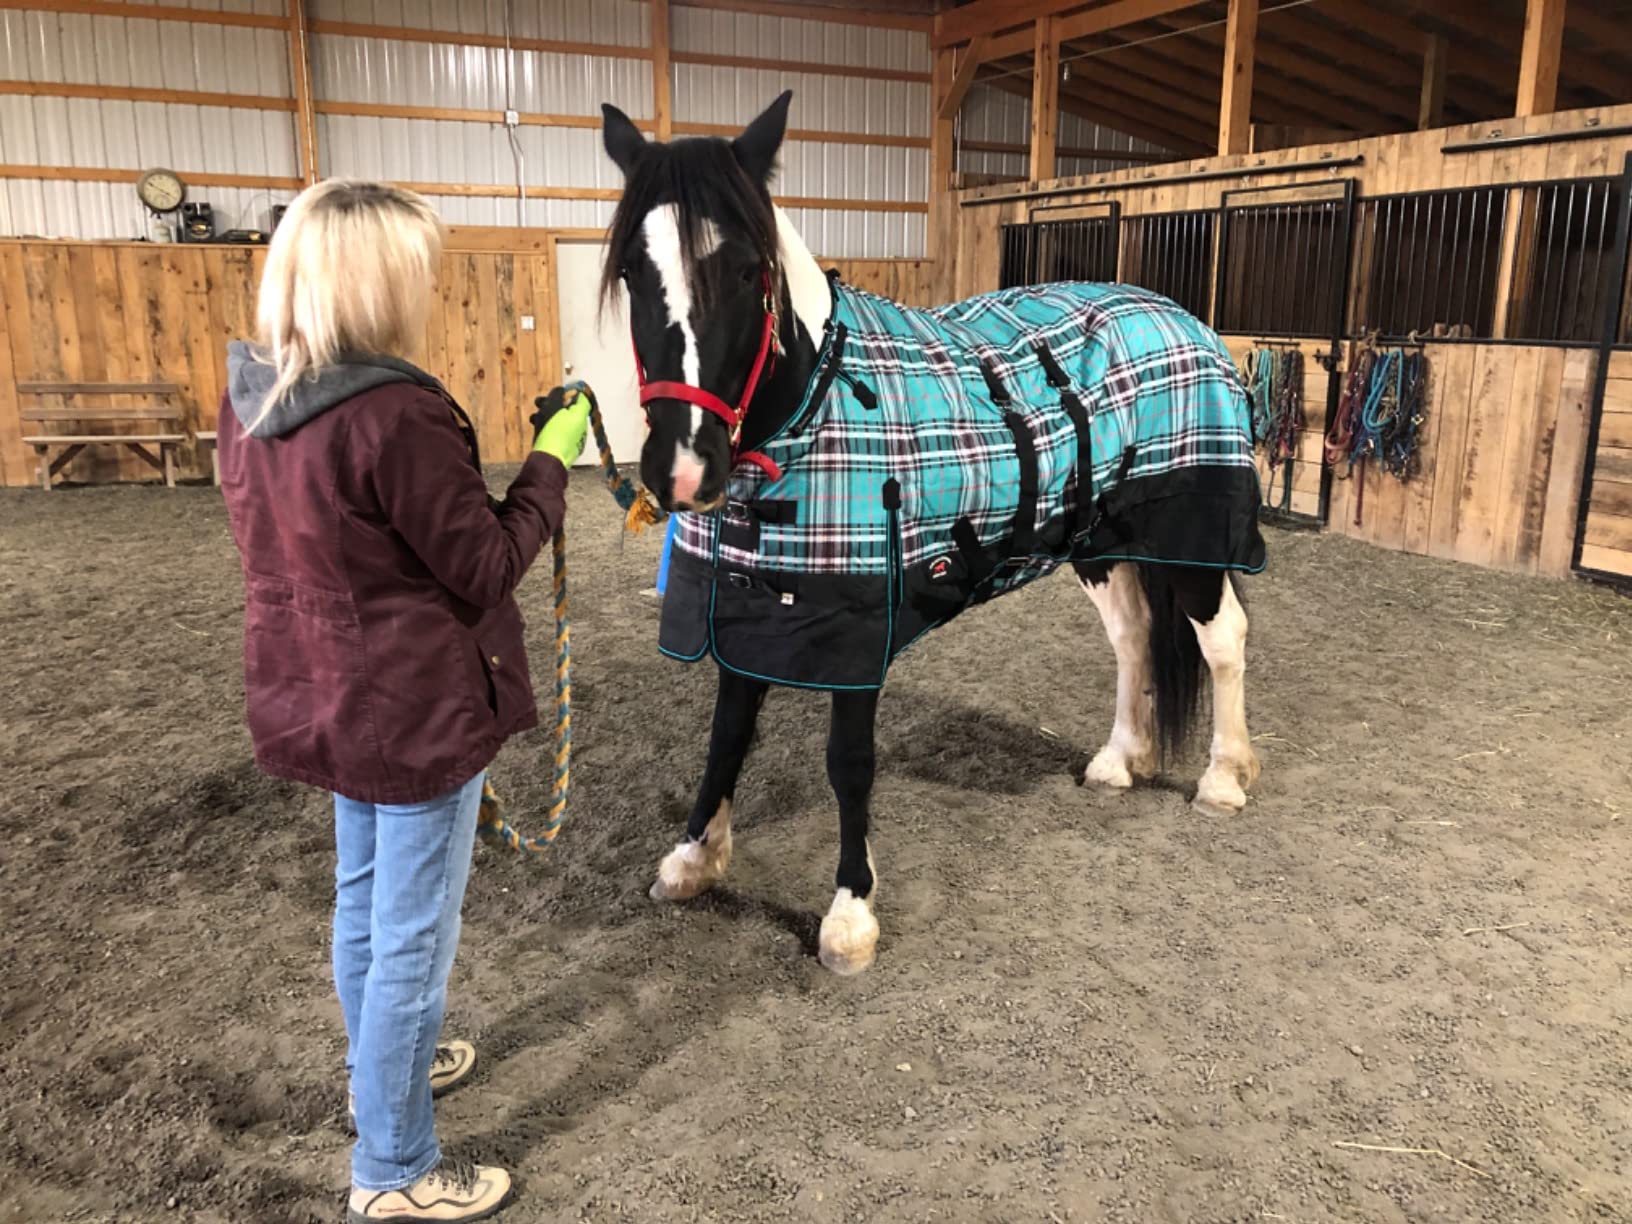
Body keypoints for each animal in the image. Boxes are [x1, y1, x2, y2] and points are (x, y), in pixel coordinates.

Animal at [599, 91, 1267, 976]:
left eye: (746, 269)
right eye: (633, 272)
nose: (680, 467)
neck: (818, 397)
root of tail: (1183, 319)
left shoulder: (854, 628)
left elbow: (848, 765)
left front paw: (850, 915)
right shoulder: (745, 607)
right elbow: (726, 737)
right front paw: (694, 859)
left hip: (1190, 534)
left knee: (1222, 639)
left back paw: (1224, 778)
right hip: (1101, 542)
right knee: (1132, 638)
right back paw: (1120, 759)